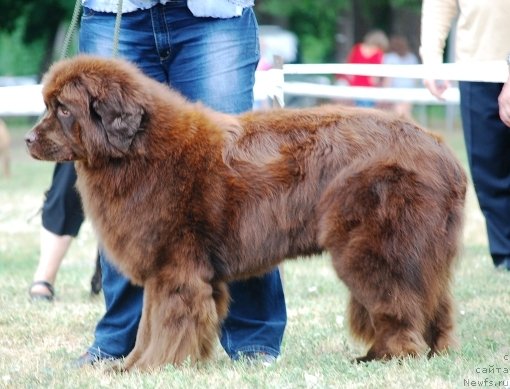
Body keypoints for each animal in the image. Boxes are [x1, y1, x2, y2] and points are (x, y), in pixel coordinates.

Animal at [24, 55, 466, 370]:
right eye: (47, 105)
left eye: (63, 110)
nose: (28, 138)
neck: (135, 151)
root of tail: (443, 152)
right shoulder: (168, 269)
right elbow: (149, 323)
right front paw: (130, 366)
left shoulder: (174, 266)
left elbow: (162, 322)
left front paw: (148, 368)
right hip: (421, 251)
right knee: (436, 304)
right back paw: (430, 352)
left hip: (372, 248)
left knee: (398, 305)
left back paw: (386, 358)